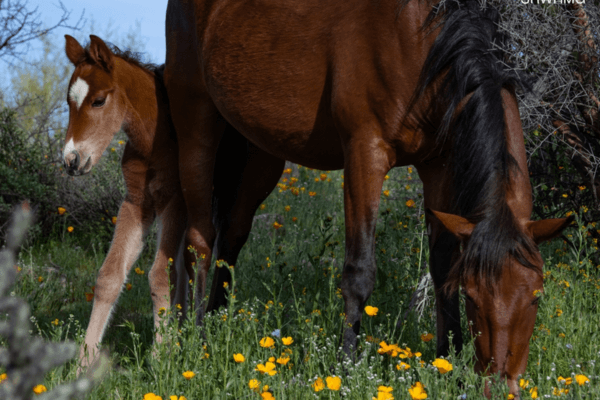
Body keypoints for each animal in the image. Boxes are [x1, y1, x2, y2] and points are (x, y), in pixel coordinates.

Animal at [163, 0, 572, 396]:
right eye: (472, 296)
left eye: (536, 296)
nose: (500, 385)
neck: (426, 41)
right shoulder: (365, 152)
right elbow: (359, 272)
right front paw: (346, 368)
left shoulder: (438, 165)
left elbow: (442, 266)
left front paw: (447, 364)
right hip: (197, 124)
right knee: (199, 241)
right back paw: (193, 339)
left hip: (259, 152)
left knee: (231, 237)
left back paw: (214, 325)